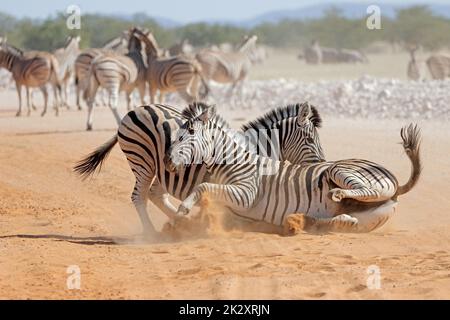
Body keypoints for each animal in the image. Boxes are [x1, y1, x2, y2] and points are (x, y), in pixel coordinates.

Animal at [164, 102, 422, 232]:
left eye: (189, 134)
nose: (166, 160)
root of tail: (396, 184)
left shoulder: (246, 194)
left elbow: (203, 188)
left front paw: (184, 208)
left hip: (340, 171)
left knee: (366, 190)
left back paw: (337, 193)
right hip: (368, 217)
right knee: (345, 221)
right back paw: (304, 220)